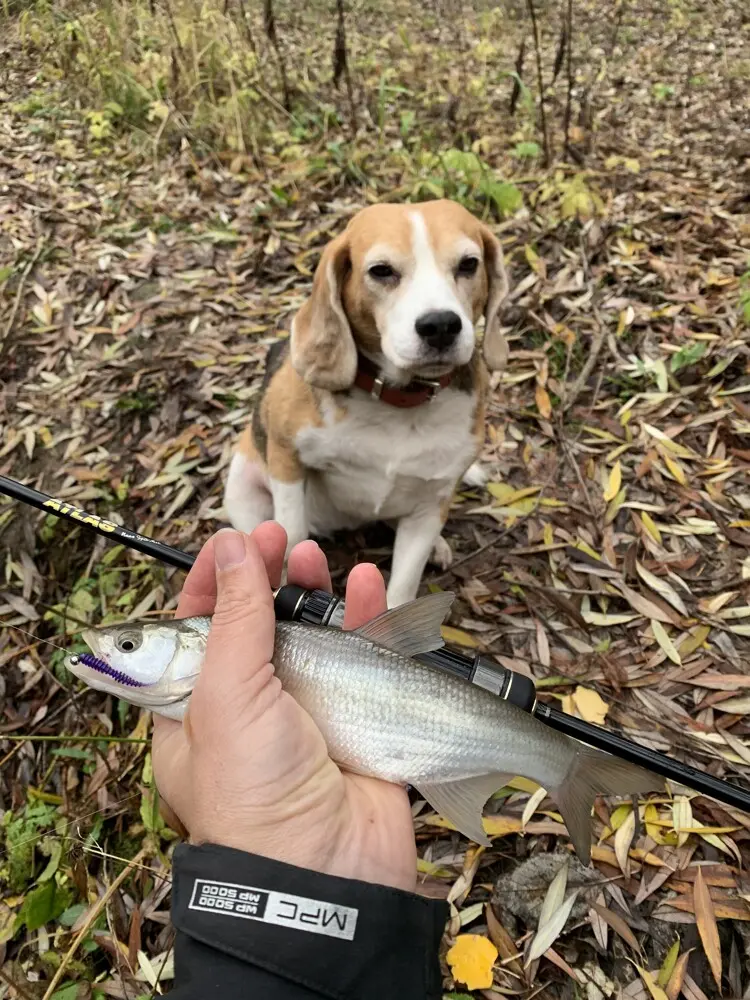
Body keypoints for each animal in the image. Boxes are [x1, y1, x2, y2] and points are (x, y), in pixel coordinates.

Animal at [223, 198, 512, 604]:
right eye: (381, 271)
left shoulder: (430, 507)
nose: (440, 325)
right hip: (242, 489)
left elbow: (402, 588)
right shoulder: (285, 459)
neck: (398, 403)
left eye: (469, 264)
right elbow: (292, 538)